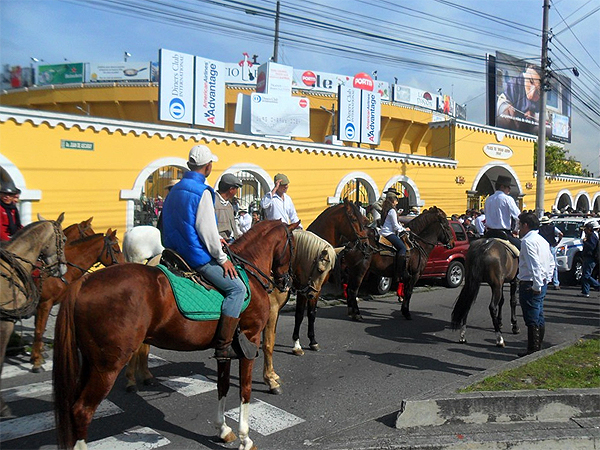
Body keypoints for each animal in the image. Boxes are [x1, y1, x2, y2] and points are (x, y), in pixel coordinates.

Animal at [53, 220, 298, 450]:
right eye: (293, 245)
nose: (286, 282)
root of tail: (83, 283)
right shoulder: (250, 339)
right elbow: (245, 391)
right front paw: (245, 438)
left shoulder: (226, 349)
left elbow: (223, 386)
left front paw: (223, 430)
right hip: (107, 367)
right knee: (82, 411)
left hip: (91, 363)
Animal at [262, 230, 338, 396]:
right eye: (320, 269)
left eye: (329, 271)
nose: (312, 293)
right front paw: (297, 346)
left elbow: (308, 315)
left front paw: (311, 341)